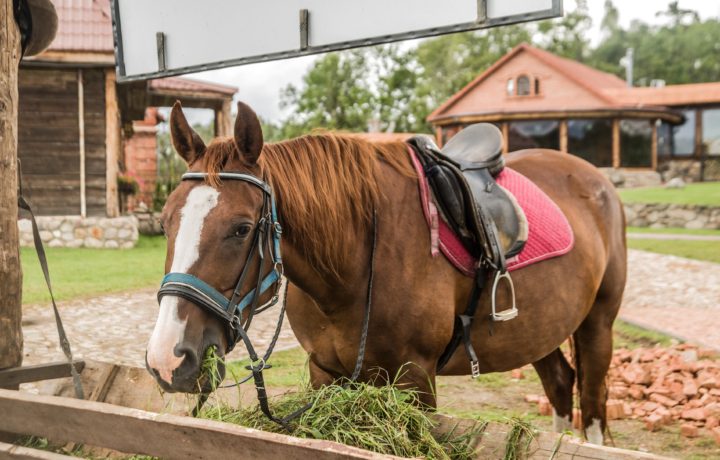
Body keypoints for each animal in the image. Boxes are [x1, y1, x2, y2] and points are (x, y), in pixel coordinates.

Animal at [146, 101, 624, 446]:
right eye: (165, 222)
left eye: (242, 228)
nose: (168, 359)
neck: (350, 274)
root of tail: (594, 178)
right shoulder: (324, 372)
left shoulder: (416, 379)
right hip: (541, 329)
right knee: (561, 386)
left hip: (597, 325)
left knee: (593, 406)